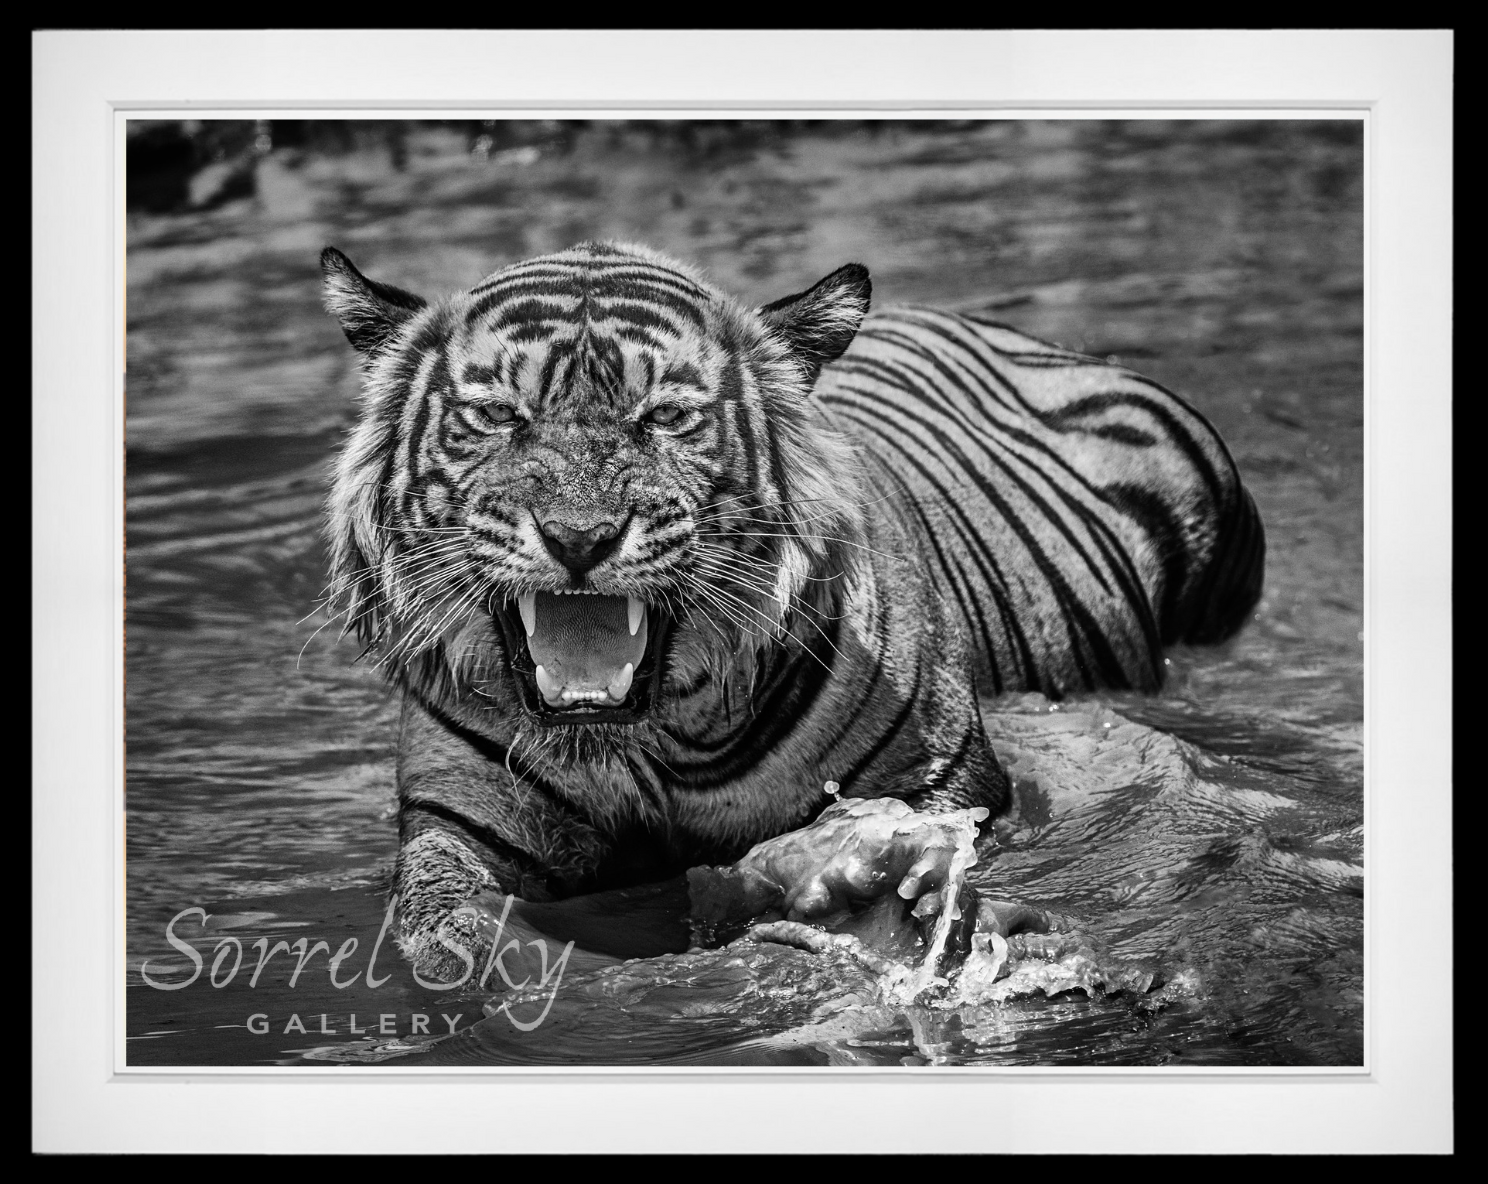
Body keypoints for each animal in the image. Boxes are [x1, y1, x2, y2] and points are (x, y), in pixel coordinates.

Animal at [319, 236, 1261, 975]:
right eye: (495, 415)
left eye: (666, 417)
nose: (580, 536)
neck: (640, 749)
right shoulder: (462, 819)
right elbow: (442, 914)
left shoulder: (942, 781)